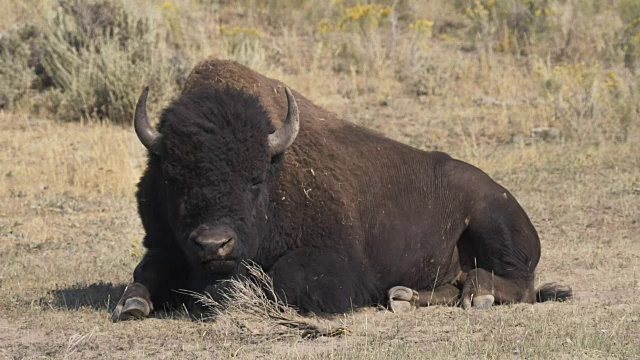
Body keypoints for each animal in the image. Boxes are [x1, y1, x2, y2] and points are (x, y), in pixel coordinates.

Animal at [110, 60, 568, 322]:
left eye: (255, 178)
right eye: (173, 178)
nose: (213, 244)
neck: (278, 167)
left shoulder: (336, 263)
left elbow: (282, 280)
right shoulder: (164, 247)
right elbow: (144, 277)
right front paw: (132, 305)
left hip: (494, 223)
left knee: (516, 285)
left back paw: (479, 294)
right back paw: (404, 297)